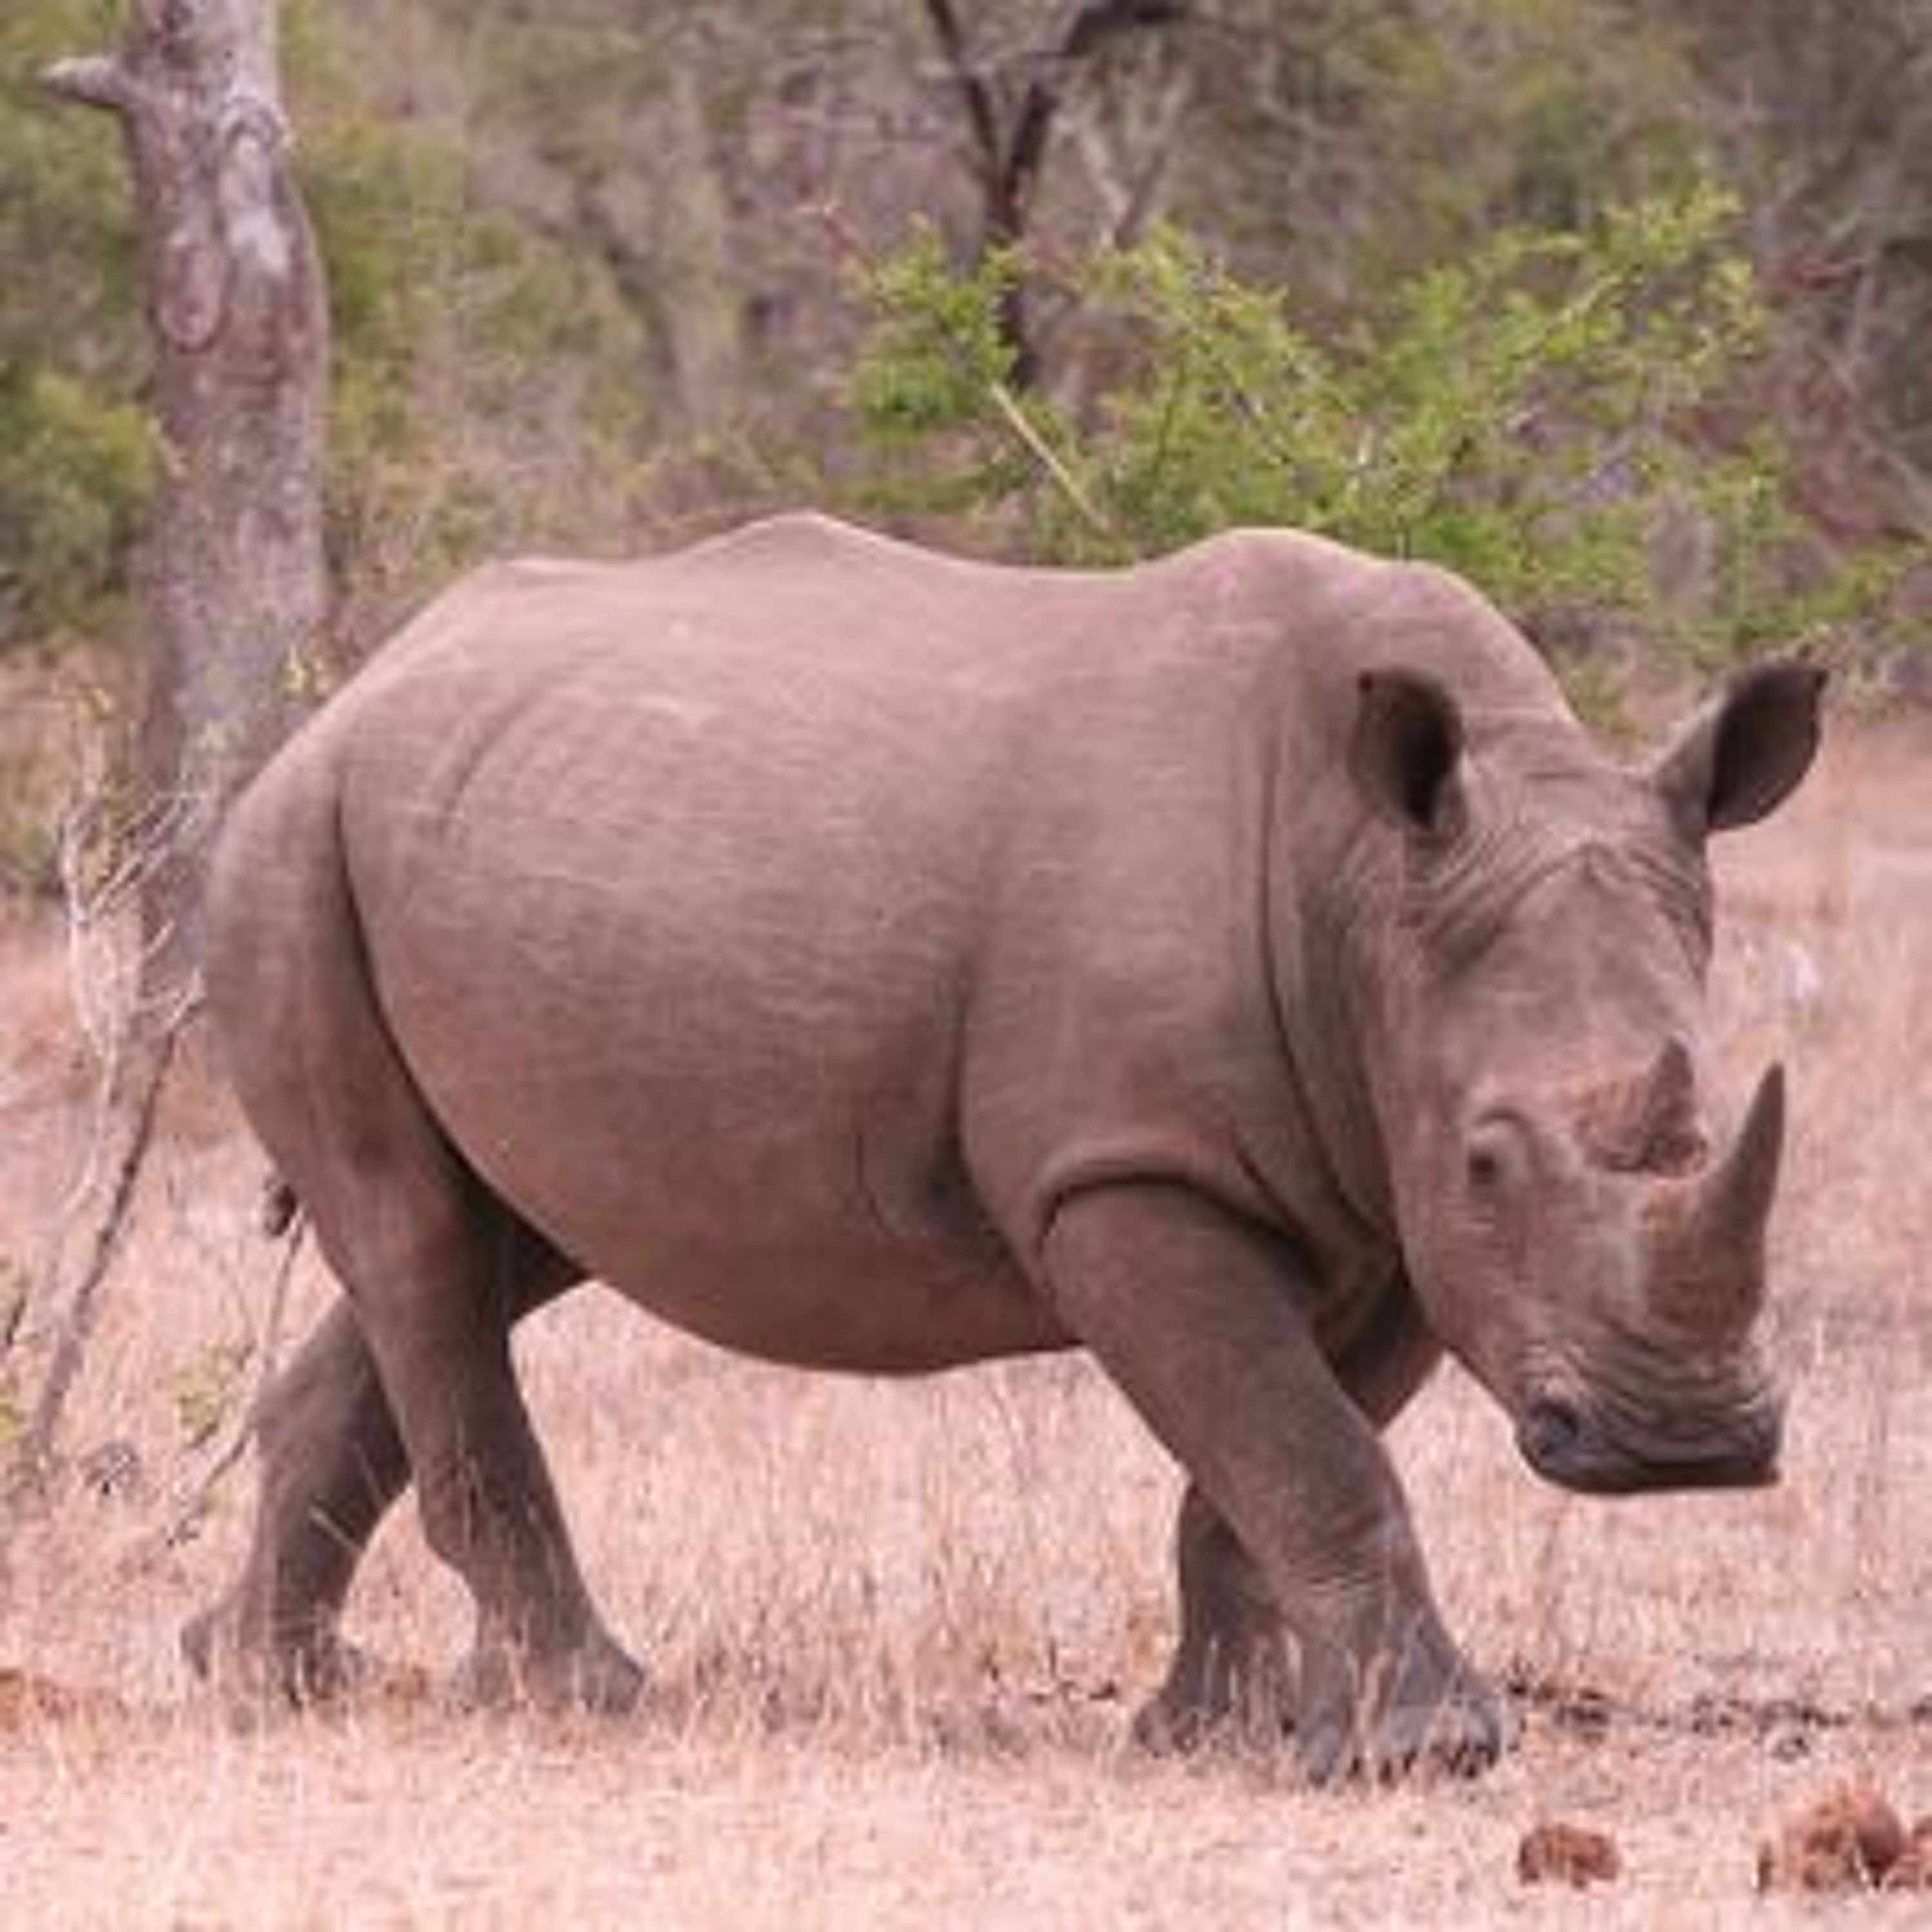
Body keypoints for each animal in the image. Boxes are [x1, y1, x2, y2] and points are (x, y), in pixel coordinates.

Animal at [185, 513, 1823, 1780]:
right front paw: (1424, 1754)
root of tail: (358, 685)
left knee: (490, 1240)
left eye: (1709, 1121)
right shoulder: (1128, 1170)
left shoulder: (1390, 1202)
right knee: (417, 1233)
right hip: (289, 850)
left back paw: (262, 1678)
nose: (1683, 1446)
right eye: (1491, 1158)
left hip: (483, 840)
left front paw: (1214, 1737)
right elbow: (1307, 1446)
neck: (1372, 889)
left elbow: (1271, 1457)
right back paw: (580, 1698)